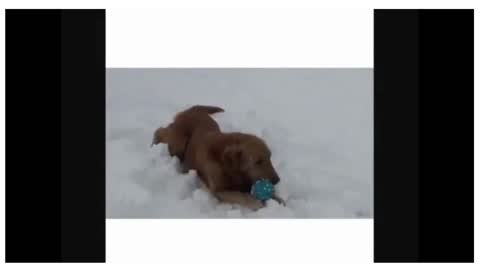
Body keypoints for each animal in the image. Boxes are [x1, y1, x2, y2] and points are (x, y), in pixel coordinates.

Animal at [152, 105, 284, 211]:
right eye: (258, 161)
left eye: (270, 157)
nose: (277, 180)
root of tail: (191, 110)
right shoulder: (219, 190)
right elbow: (242, 196)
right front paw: (256, 203)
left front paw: (278, 199)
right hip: (178, 144)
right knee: (160, 130)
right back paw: (153, 142)